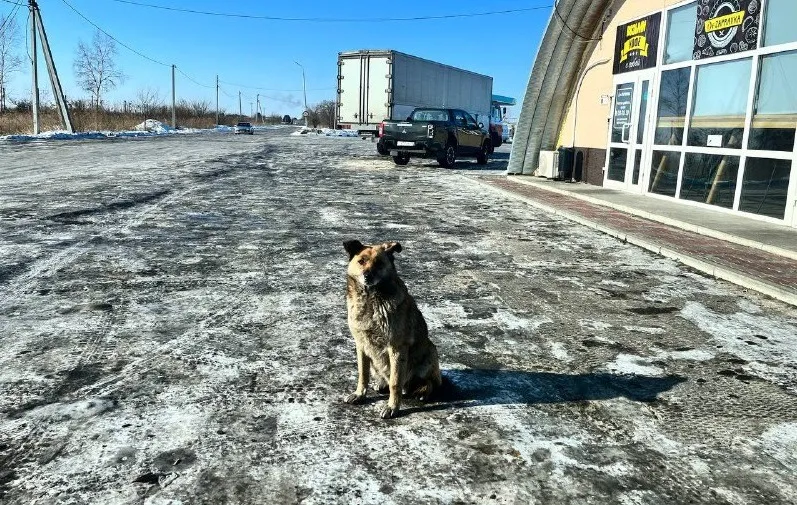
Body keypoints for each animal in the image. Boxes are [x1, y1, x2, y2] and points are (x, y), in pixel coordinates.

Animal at [340, 239, 442, 418]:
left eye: (379, 263)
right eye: (361, 261)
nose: (367, 276)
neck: (370, 299)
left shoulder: (396, 348)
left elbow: (395, 382)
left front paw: (392, 407)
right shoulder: (361, 345)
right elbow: (362, 373)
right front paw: (359, 394)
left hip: (430, 351)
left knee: (430, 383)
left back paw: (422, 392)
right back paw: (381, 384)